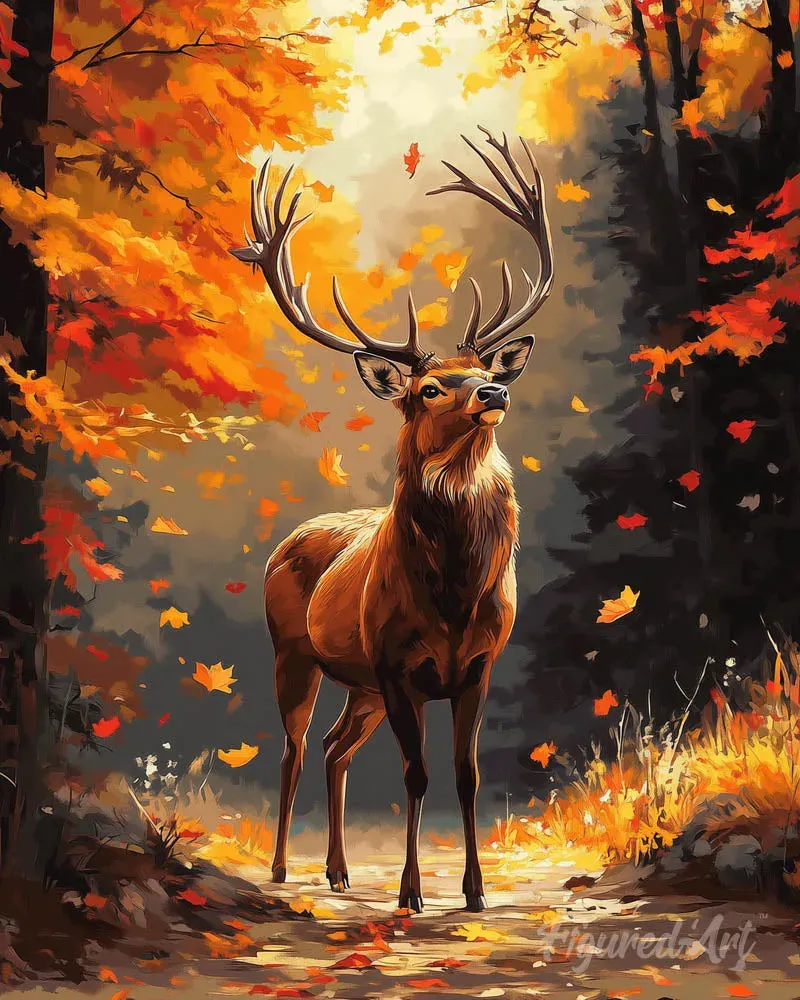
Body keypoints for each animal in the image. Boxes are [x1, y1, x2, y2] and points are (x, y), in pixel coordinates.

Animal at [231, 127, 553, 914]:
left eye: (482, 369)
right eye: (429, 386)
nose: (494, 391)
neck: (453, 596)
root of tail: (285, 541)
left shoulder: (477, 663)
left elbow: (466, 776)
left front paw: (473, 892)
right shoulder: (397, 661)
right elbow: (416, 774)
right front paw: (410, 891)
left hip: (363, 685)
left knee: (334, 747)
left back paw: (338, 870)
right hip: (297, 653)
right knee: (293, 746)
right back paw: (283, 868)